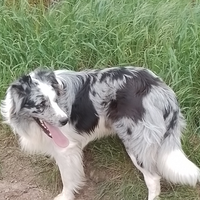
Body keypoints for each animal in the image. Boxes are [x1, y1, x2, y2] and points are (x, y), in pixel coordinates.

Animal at [0, 66, 199, 199]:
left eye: (57, 100)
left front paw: (66, 195)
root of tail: (161, 89)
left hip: (136, 144)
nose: (65, 120)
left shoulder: (66, 150)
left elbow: (67, 179)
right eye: (41, 104)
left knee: (153, 180)